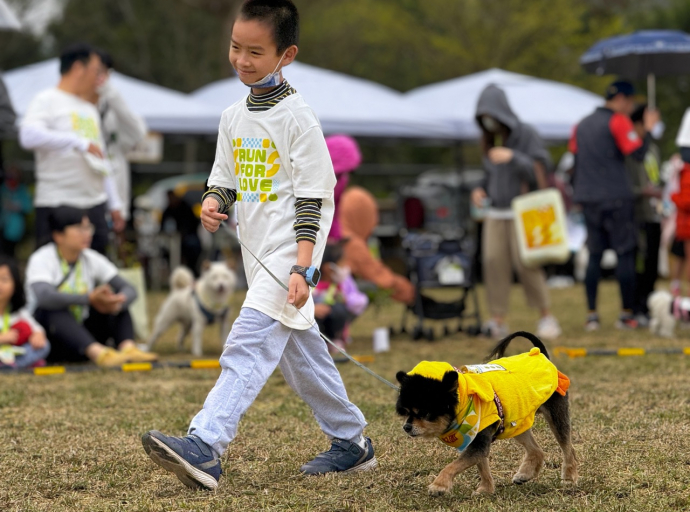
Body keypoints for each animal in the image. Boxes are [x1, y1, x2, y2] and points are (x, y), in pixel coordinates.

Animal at [392, 332, 576, 496]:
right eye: (406, 412)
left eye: (424, 413)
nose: (406, 427)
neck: (465, 400)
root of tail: (542, 355)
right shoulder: (477, 439)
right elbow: (482, 466)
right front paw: (486, 489)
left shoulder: (478, 441)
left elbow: (453, 465)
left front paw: (439, 486)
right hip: (516, 422)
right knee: (537, 450)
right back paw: (525, 475)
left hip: (555, 414)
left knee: (568, 448)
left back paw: (569, 479)